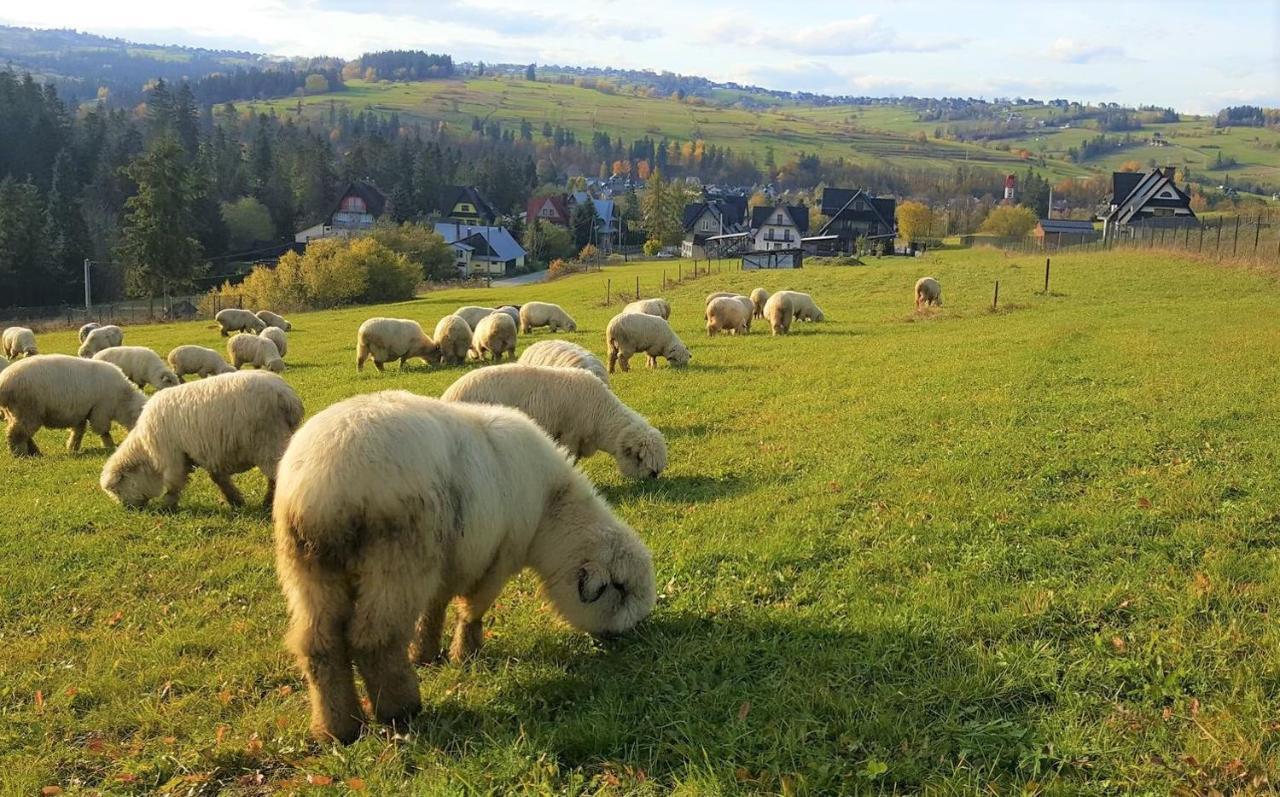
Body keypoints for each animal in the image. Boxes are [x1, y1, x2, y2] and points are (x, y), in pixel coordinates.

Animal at [0, 353, 145, 457]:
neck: (122, 400)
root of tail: (4, 382)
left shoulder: (83, 412)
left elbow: (79, 431)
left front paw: (72, 447)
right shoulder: (100, 410)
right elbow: (103, 431)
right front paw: (110, 446)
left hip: (15, 413)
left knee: (23, 433)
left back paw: (35, 452)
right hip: (27, 409)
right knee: (17, 434)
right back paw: (20, 454)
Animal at [103, 368, 304, 511]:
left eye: (118, 489)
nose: (129, 509)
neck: (146, 450)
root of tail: (287, 396)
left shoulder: (172, 456)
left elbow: (174, 483)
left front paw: (167, 507)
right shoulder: (205, 453)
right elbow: (218, 479)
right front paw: (235, 501)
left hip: (268, 441)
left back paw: (269, 503)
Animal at [268, 391, 650, 741]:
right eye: (620, 589)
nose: (626, 637)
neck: (551, 513)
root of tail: (321, 487)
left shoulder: (449, 562)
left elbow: (434, 608)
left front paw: (424, 653)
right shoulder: (500, 557)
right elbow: (474, 608)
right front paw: (467, 654)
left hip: (308, 568)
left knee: (320, 645)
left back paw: (338, 729)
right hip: (397, 561)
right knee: (374, 640)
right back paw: (400, 709)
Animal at [442, 365, 665, 475]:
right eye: (640, 458)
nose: (653, 477)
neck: (601, 418)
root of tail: (448, 395)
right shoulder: (570, 435)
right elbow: (571, 458)